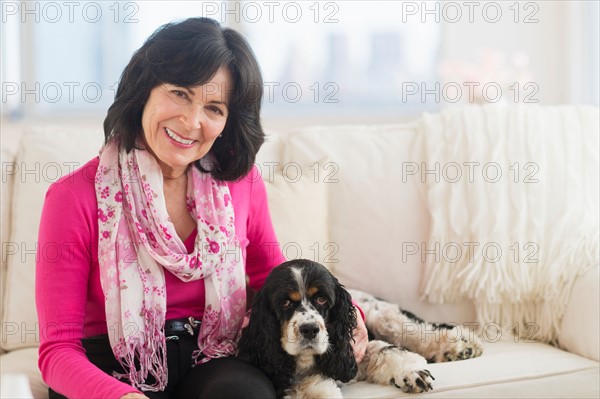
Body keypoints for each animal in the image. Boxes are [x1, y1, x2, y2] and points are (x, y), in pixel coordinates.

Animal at [236, 260, 482, 399]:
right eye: (286, 303)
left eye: (322, 299)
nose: (310, 329)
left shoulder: (351, 350)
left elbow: (387, 350)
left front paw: (412, 373)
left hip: (384, 317)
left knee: (421, 330)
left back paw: (464, 345)